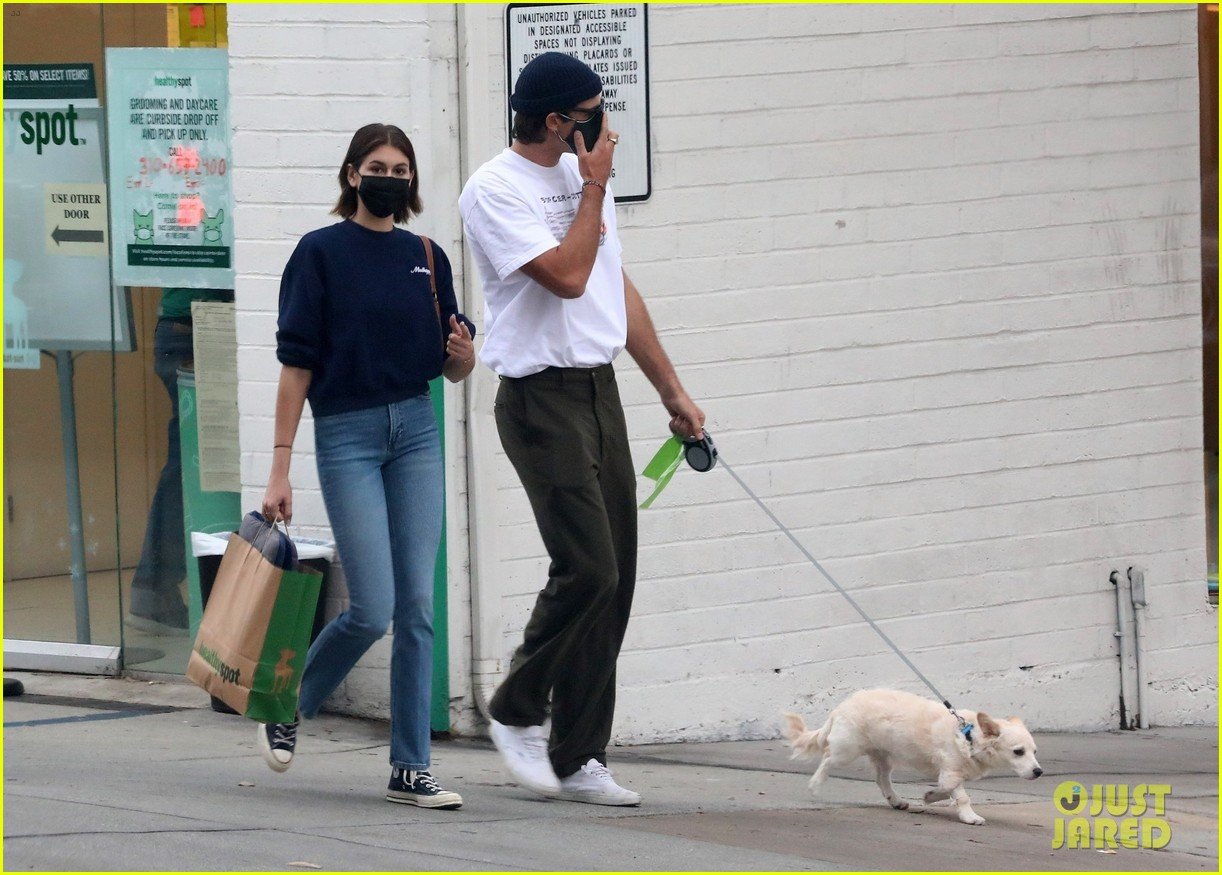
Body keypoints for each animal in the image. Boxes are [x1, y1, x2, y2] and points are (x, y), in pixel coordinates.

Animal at [782, 689, 1041, 826]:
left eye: (1034, 752)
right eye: (1018, 752)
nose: (1039, 772)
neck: (969, 736)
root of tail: (842, 706)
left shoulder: (950, 774)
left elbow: (945, 790)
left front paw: (929, 797)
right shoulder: (951, 772)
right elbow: (961, 795)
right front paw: (969, 816)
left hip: (883, 756)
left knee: (882, 779)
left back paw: (895, 800)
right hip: (846, 750)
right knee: (827, 759)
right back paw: (816, 785)